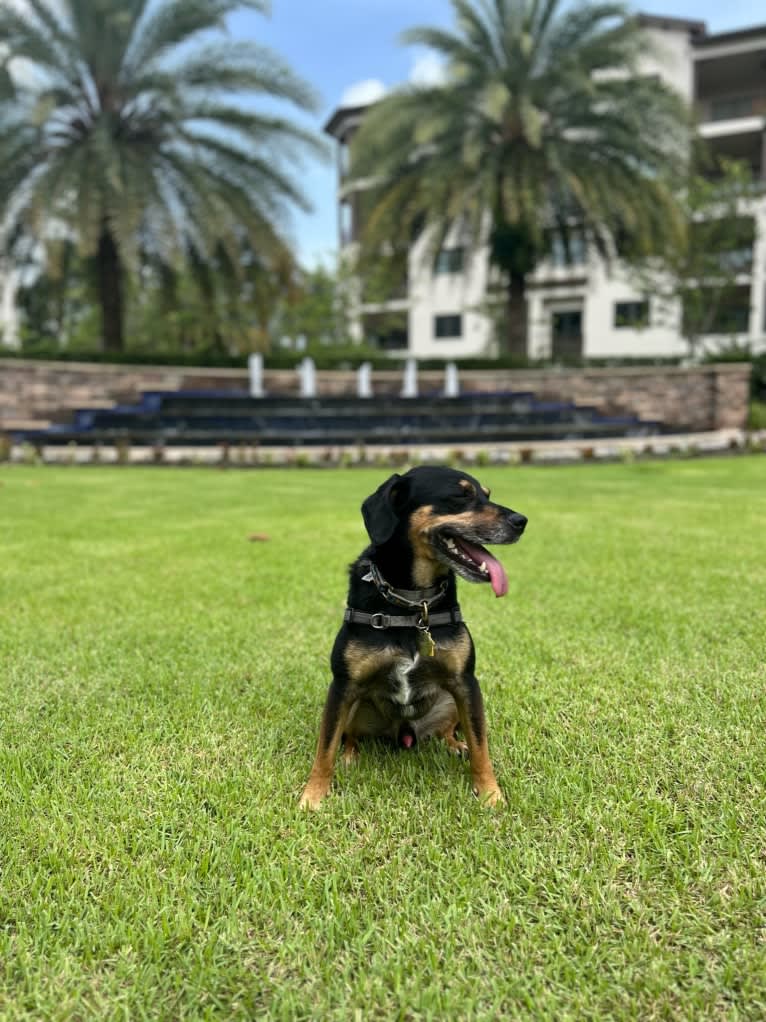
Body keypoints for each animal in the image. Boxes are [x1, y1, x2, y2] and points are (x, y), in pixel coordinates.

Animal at [300, 468, 527, 809]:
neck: (414, 602)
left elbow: (480, 745)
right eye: (461, 495)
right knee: (348, 735)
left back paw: (454, 745)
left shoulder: (466, 682)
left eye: (487, 494)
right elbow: (325, 746)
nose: (521, 521)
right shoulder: (343, 685)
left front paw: (490, 793)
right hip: (355, 703)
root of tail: (405, 733)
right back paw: (351, 754)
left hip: (451, 699)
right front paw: (313, 796)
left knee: (450, 731)